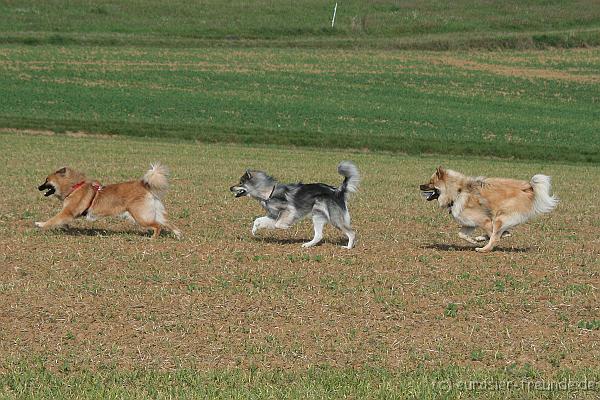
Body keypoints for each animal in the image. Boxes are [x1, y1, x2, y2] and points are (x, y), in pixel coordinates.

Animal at [34, 163, 180, 239]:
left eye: (46, 180)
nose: (38, 187)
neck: (74, 187)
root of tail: (144, 186)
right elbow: (61, 221)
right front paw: (65, 228)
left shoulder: (68, 212)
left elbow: (53, 219)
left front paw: (40, 224)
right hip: (151, 213)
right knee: (167, 223)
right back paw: (178, 234)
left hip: (140, 216)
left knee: (157, 226)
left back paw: (152, 238)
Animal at [230, 161, 360, 248]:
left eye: (240, 182)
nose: (230, 188)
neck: (268, 192)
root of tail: (338, 191)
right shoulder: (273, 215)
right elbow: (258, 220)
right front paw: (254, 231)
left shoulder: (288, 210)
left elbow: (278, 224)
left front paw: (287, 227)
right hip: (317, 216)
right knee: (319, 235)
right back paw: (307, 245)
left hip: (334, 218)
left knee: (351, 232)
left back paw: (348, 247)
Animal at [422, 167, 556, 252]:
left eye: (431, 182)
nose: (420, 186)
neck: (458, 192)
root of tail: (528, 188)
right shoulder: (469, 223)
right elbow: (461, 234)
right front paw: (473, 240)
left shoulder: (484, 220)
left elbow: (493, 236)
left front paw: (483, 241)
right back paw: (481, 239)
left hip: (500, 218)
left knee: (495, 236)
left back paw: (483, 249)